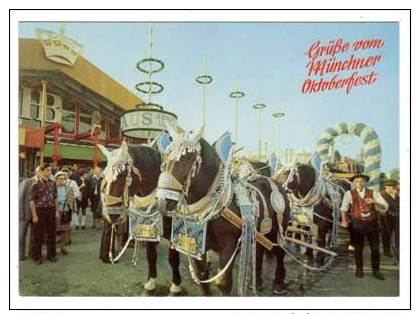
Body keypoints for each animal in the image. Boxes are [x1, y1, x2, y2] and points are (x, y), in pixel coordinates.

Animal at [100, 144, 184, 296]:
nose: (110, 215)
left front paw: (175, 286)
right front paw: (151, 283)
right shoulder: (149, 229)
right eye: (104, 176)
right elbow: (151, 255)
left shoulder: (173, 232)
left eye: (121, 176)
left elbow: (173, 258)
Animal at [156, 127, 290, 294]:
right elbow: (202, 276)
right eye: (165, 158)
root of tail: (277, 183)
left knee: (280, 251)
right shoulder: (199, 245)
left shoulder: (228, 247)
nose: (163, 202)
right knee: (258, 250)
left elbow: (224, 283)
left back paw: (279, 282)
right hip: (258, 232)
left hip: (279, 228)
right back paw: (258, 281)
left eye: (188, 159)